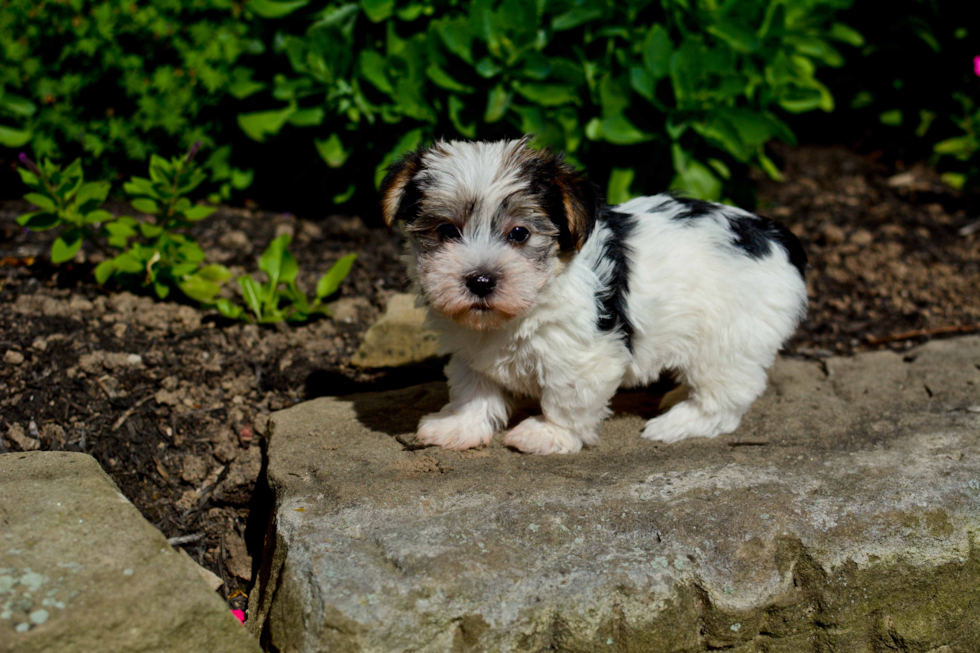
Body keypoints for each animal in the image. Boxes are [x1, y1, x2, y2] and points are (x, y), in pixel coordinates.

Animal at [378, 138, 808, 454]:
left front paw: (548, 434)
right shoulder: (470, 351)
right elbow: (474, 388)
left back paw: (677, 422)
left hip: (729, 340)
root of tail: (775, 236)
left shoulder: (585, 357)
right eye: (446, 231)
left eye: (520, 233)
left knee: (725, 395)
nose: (481, 281)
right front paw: (459, 426)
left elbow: (566, 399)